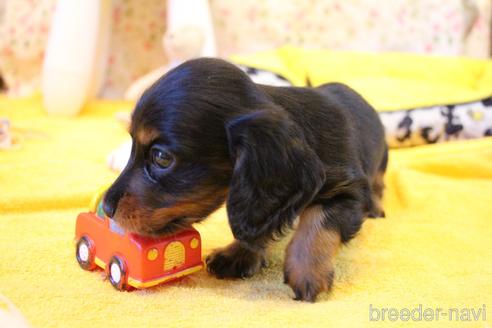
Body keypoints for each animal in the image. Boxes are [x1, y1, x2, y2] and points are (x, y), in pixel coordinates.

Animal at [104, 57, 388, 302]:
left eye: (161, 157)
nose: (106, 208)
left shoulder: (350, 192)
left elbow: (318, 222)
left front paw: (307, 271)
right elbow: (258, 222)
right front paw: (237, 254)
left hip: (380, 160)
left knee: (379, 183)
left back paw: (377, 207)